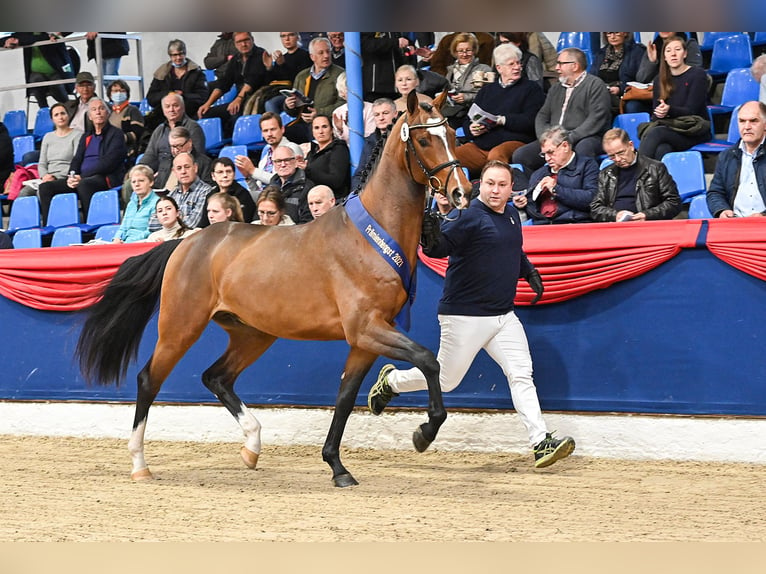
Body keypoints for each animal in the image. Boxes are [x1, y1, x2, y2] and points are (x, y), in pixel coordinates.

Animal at [78, 92, 474, 488]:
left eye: (451, 135)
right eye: (423, 139)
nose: (461, 192)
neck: (370, 237)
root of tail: (186, 242)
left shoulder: (366, 339)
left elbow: (346, 397)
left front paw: (337, 466)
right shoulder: (366, 328)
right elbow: (428, 360)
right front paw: (424, 433)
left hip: (252, 333)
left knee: (216, 377)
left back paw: (252, 446)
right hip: (180, 327)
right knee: (150, 379)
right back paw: (139, 463)